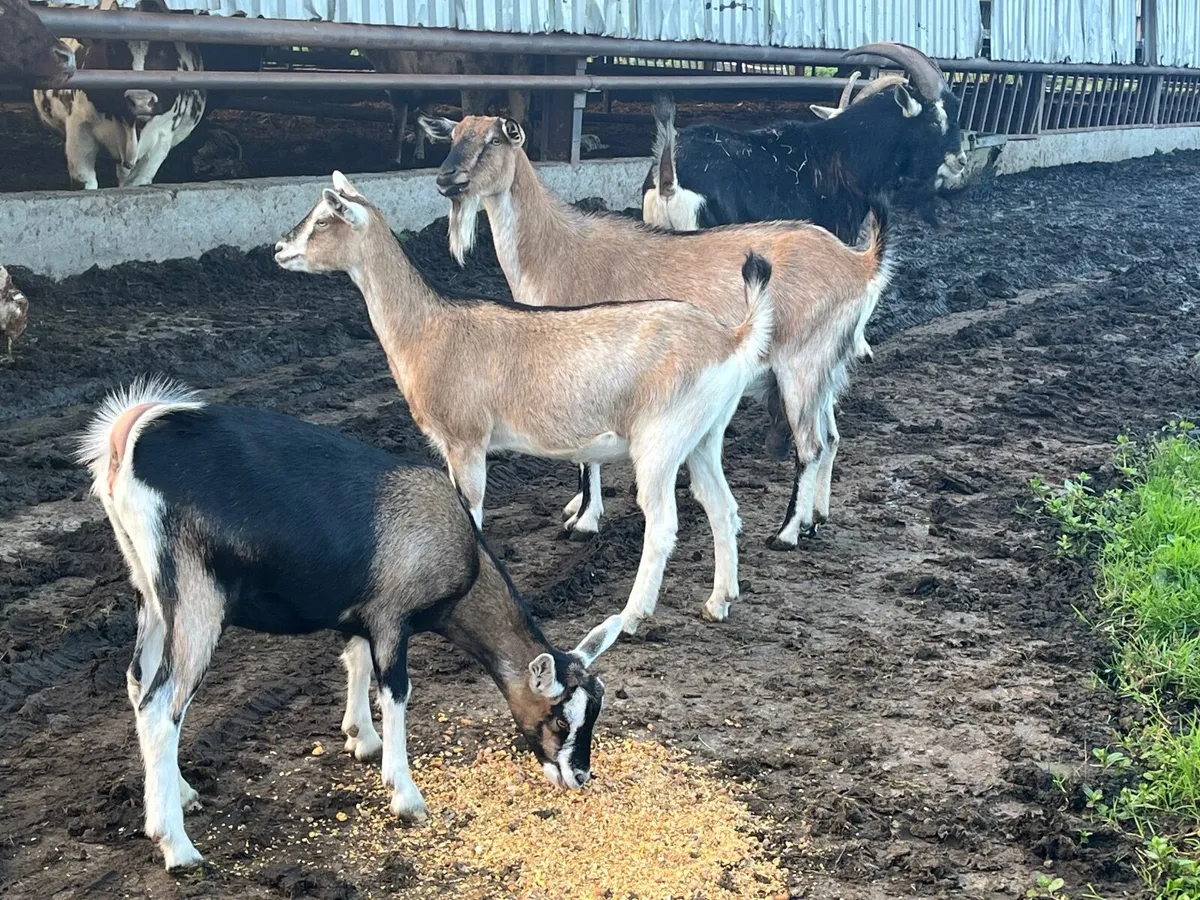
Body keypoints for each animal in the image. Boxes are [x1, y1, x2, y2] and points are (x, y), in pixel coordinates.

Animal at [33, 1, 204, 190]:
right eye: (112, 47)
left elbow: (137, 182)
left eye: (163, 50)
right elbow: (85, 181)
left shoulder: (162, 136)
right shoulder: (79, 126)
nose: (141, 101)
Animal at [78, 377, 623, 870]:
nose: (579, 777)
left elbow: (354, 659)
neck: (463, 564)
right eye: (560, 719)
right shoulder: (392, 618)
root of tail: (129, 434)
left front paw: (361, 738)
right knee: (161, 705)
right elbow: (396, 692)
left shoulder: (364, 611)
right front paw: (404, 795)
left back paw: (182, 793)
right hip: (195, 594)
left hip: (150, 590)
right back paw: (176, 844)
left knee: (138, 683)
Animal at [275, 172, 773, 633]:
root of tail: (732, 338)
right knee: (721, 505)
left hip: (661, 441)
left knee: (663, 523)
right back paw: (720, 601)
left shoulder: (467, 440)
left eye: (325, 219)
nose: (279, 248)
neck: (430, 330)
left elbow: (472, 514)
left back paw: (632, 616)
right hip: (704, 436)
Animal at [367, 50, 530, 168]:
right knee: (521, 120)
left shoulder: (398, 93)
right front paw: (417, 157)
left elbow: (398, 130)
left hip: (473, 85)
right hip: (518, 80)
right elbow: (420, 126)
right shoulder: (427, 96)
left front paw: (393, 161)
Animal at [420, 114, 893, 552]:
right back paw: (816, 519)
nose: (445, 178)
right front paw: (578, 510)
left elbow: (587, 457)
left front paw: (584, 521)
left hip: (802, 364)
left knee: (811, 445)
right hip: (825, 368)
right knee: (830, 436)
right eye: (454, 134)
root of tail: (861, 264)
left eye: (493, 140)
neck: (555, 253)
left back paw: (787, 532)